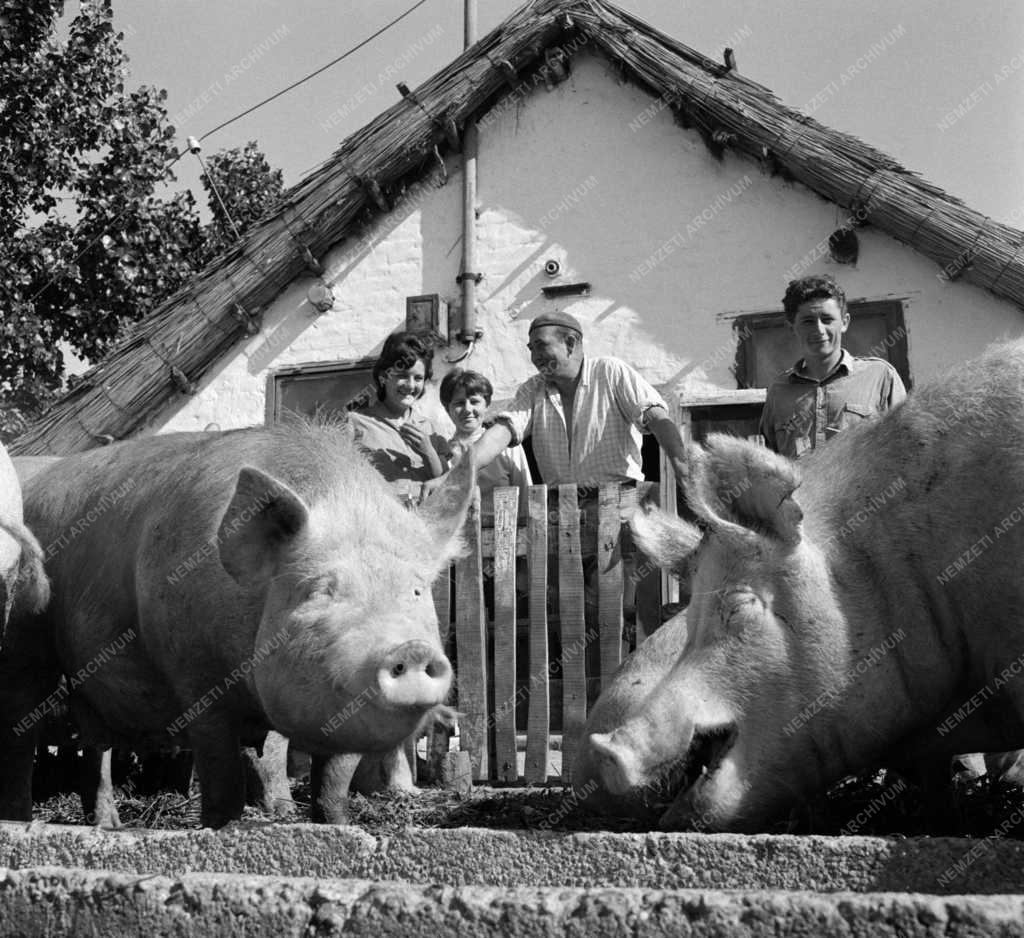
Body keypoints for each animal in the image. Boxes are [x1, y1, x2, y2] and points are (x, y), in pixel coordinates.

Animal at [0, 425, 471, 827]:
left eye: (415, 591)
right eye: (320, 591)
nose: (410, 649)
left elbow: (330, 783)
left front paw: (331, 825)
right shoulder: (195, 677)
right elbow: (223, 778)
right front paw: (220, 828)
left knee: (94, 747)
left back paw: (109, 826)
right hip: (25, 641)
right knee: (23, 733)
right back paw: (21, 821)